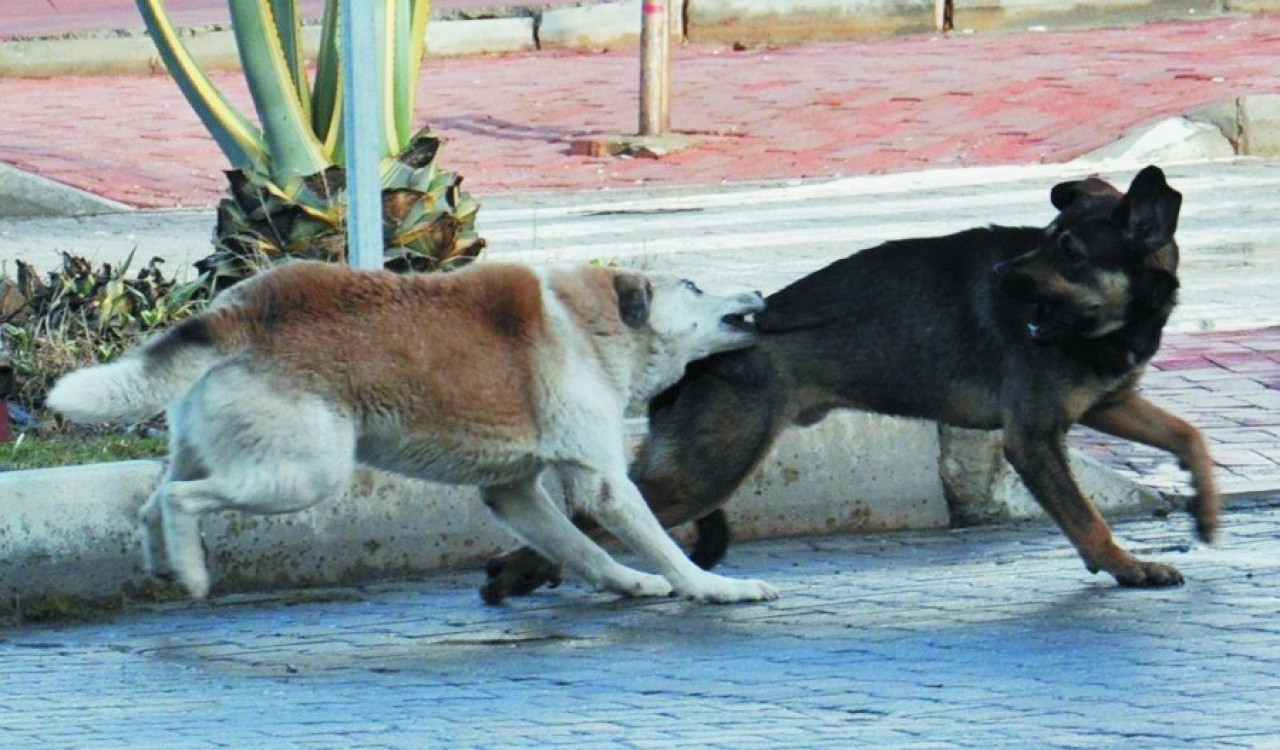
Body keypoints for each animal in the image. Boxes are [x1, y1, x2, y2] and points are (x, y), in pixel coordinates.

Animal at [45, 258, 773, 601]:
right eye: (694, 285)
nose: (761, 295)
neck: (594, 322)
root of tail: (242, 309)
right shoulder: (605, 486)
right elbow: (659, 545)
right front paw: (716, 589)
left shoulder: (514, 493)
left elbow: (578, 547)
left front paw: (627, 583)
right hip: (304, 474)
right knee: (179, 500)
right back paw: (193, 574)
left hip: (214, 447)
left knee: (153, 502)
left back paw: (163, 561)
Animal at [486, 166, 1218, 598]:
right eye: (1044, 240)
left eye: (1068, 252)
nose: (1000, 274)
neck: (1110, 323)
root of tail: (705, 346)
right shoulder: (1034, 440)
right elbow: (1086, 519)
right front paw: (1127, 566)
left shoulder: (1108, 405)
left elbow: (1191, 434)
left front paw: (1206, 508)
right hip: (709, 469)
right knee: (591, 516)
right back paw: (514, 575)